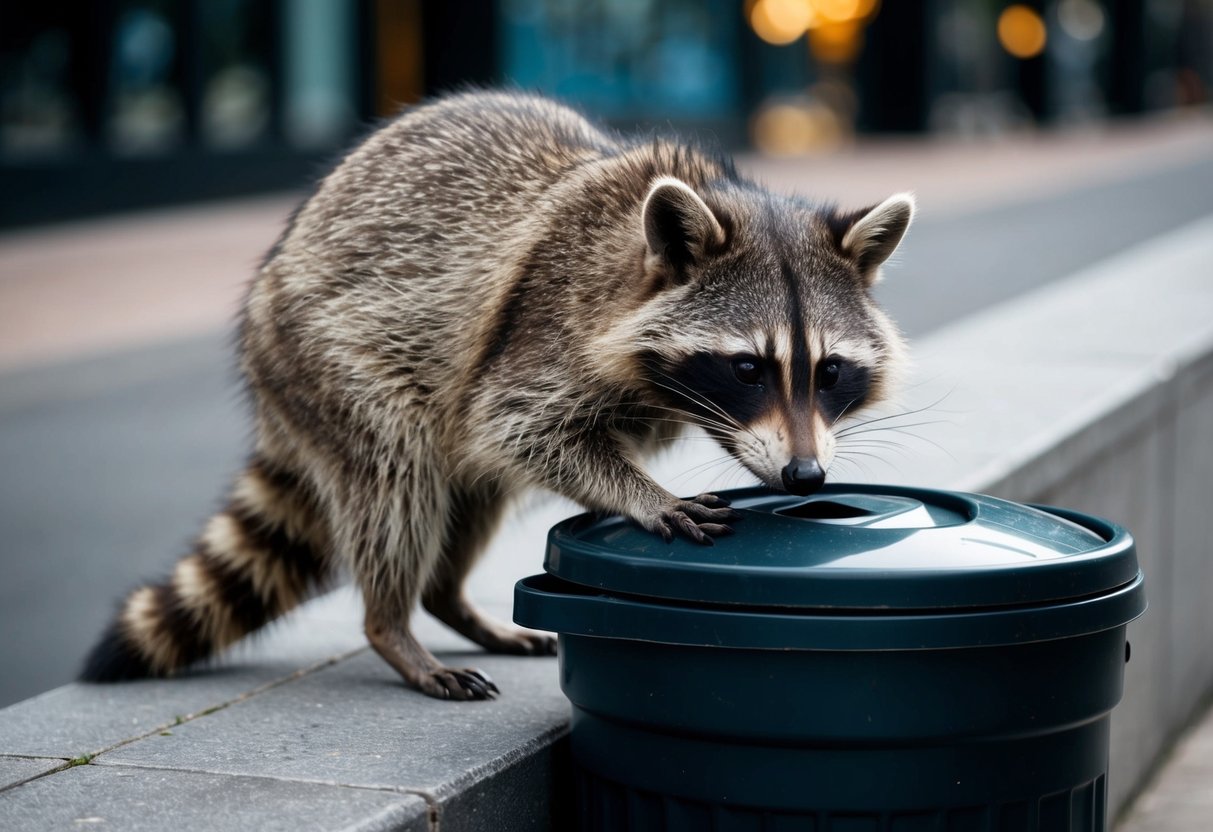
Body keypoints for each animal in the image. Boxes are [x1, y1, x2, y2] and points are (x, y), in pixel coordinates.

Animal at [81, 91, 912, 700]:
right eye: (746, 369)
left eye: (829, 371)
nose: (805, 477)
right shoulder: (541, 328)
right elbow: (514, 426)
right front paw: (641, 494)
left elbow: (514, 447)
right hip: (328, 357)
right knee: (397, 476)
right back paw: (392, 625)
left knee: (472, 487)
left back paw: (449, 600)